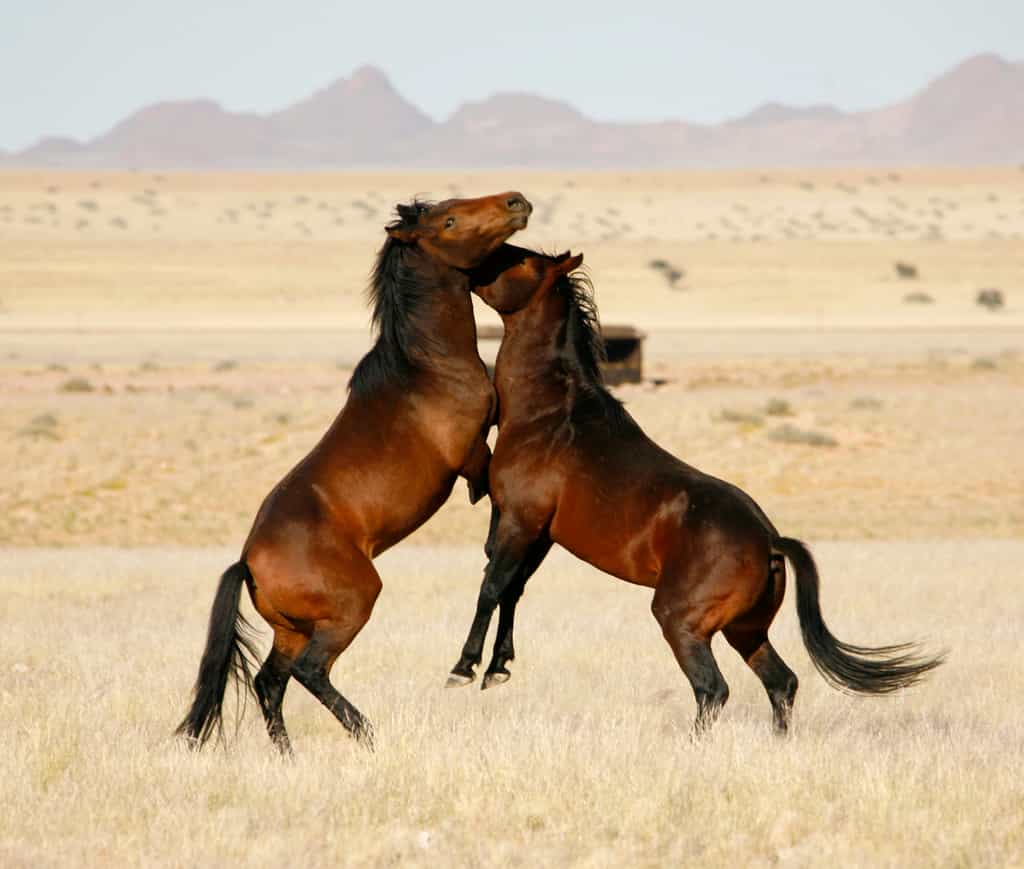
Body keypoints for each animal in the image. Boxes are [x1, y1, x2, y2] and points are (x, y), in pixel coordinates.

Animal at [177, 191, 533, 752]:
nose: (515, 201)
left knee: (270, 681)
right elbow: (495, 511)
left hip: (293, 628)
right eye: (449, 219)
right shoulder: (473, 456)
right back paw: (367, 734)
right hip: (351, 608)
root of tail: (248, 563)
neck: (427, 367)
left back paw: (288, 755)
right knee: (309, 672)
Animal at [448, 245, 944, 733]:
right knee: (781, 682)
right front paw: (498, 668)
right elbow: (512, 589)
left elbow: (492, 586)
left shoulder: (521, 520)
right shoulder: (538, 533)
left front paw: (465, 667)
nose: (474, 267)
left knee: (713, 688)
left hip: (682, 623)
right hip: (746, 631)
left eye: (521, 260)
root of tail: (769, 540)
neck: (552, 415)